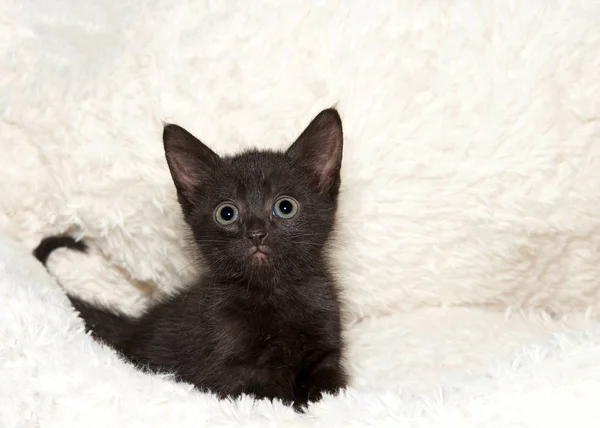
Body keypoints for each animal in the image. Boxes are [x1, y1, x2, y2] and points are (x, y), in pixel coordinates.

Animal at [35, 108, 346, 410]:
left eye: (285, 207)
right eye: (227, 213)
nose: (256, 233)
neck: (272, 292)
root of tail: (134, 328)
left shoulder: (327, 351)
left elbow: (331, 390)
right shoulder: (235, 371)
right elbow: (270, 400)